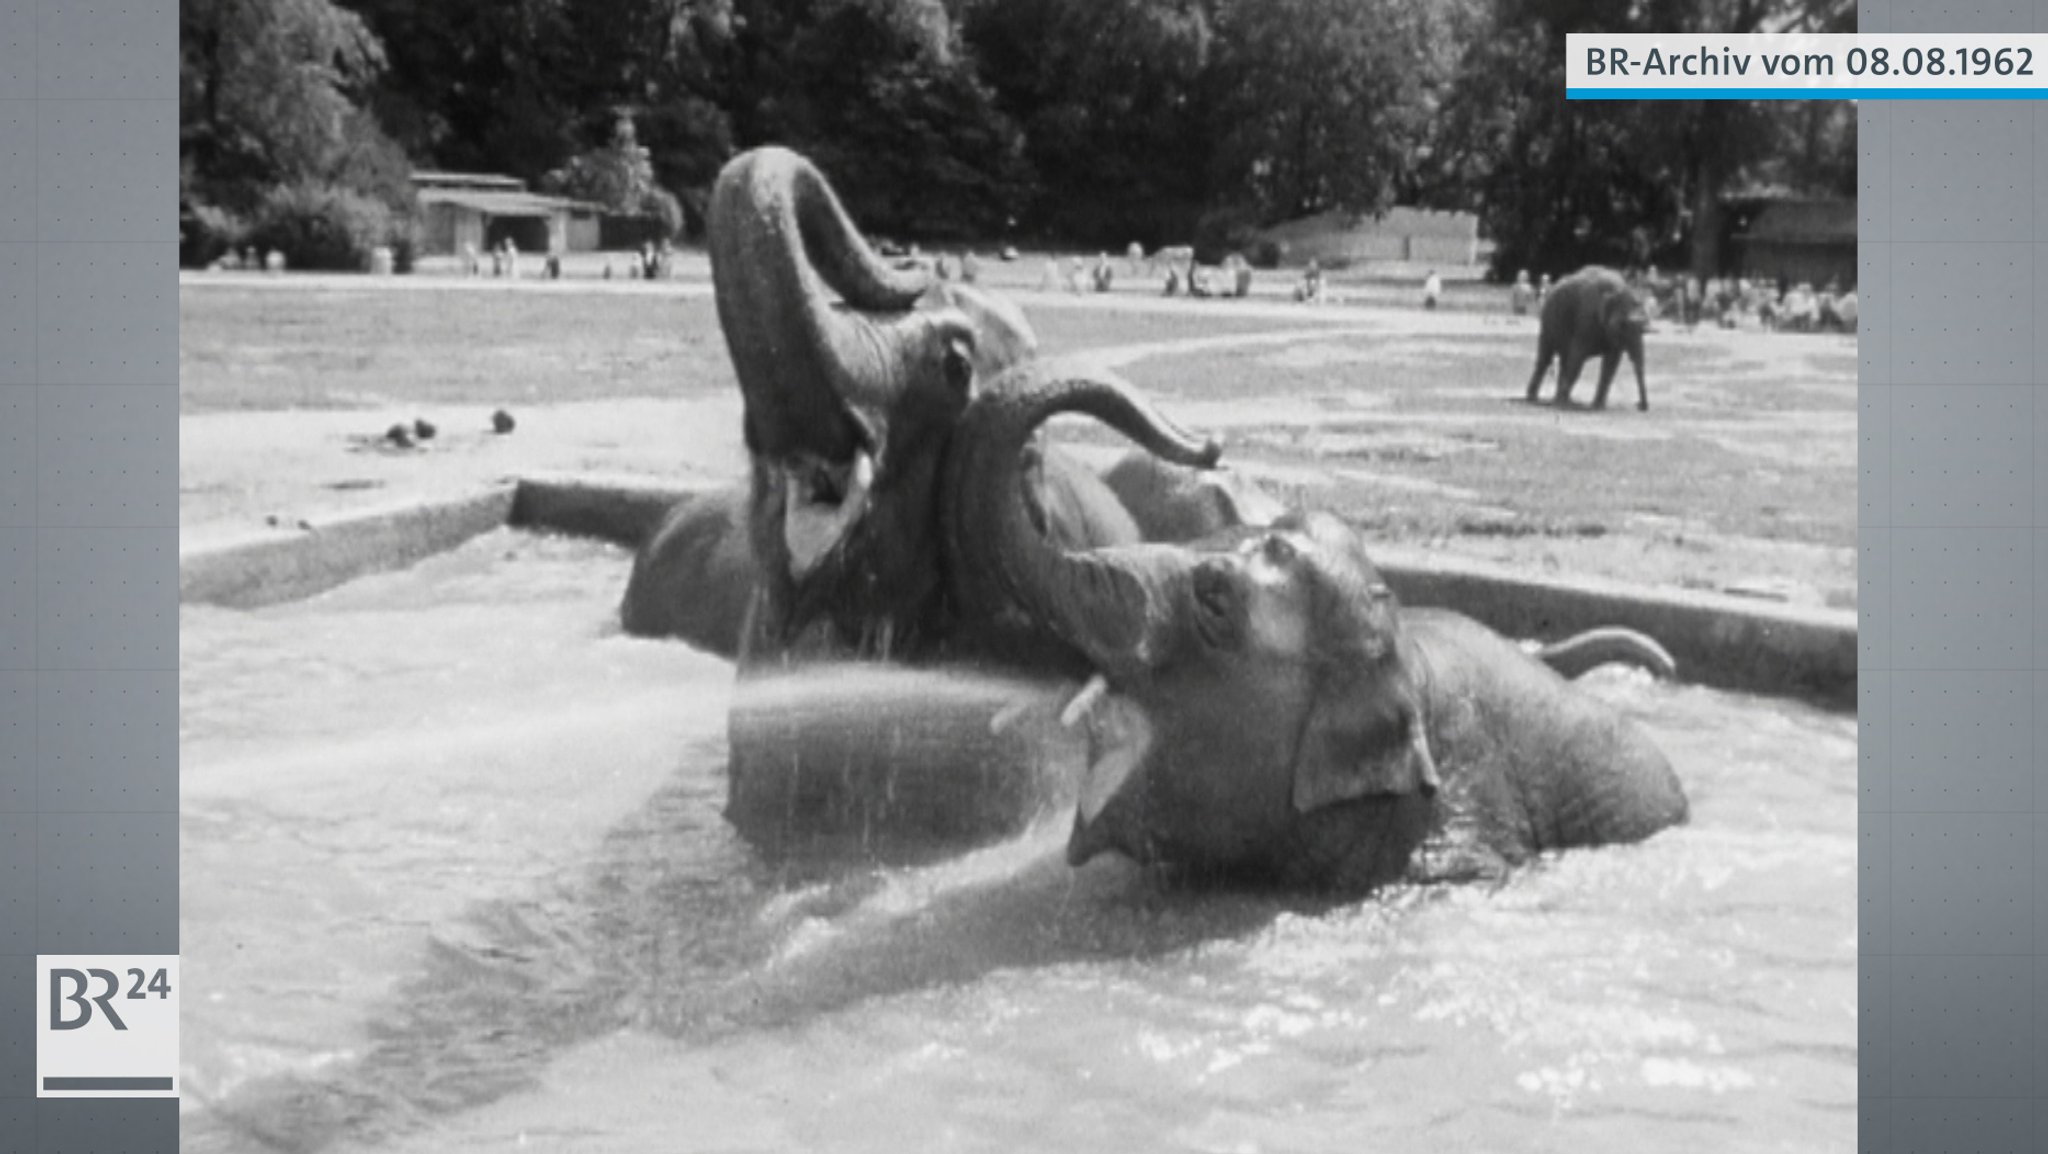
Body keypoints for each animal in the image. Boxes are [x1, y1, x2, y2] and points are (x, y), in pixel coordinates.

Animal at [1523, 268, 1646, 416]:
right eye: (1623, 325)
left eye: (1644, 326)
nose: (1639, 406)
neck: (1617, 290)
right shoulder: (1585, 320)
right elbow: (1577, 359)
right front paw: (1562, 405)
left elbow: (1610, 365)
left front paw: (1598, 407)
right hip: (1547, 321)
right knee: (1546, 358)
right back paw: (1537, 399)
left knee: (1564, 361)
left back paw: (1565, 400)